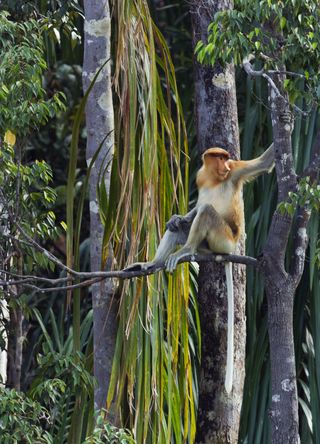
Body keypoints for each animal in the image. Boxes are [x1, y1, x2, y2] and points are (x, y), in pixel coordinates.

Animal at [127, 145, 276, 392]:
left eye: (226, 159)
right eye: (219, 158)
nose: (224, 165)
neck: (215, 177)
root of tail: (229, 249)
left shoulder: (235, 170)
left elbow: (264, 163)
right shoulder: (201, 175)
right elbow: (192, 211)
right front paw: (177, 217)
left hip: (222, 240)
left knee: (207, 211)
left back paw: (184, 250)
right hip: (208, 245)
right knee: (184, 225)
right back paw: (154, 262)